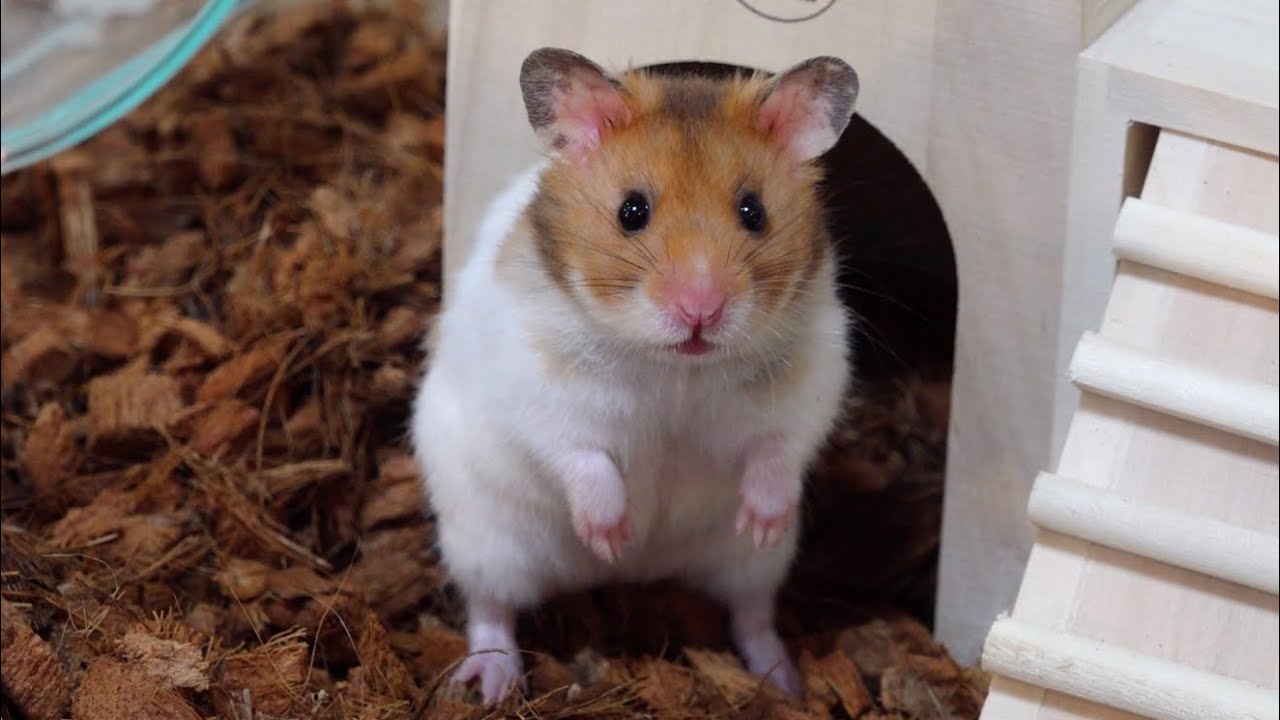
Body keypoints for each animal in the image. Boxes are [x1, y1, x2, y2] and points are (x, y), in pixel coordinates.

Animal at [411, 47, 858, 704]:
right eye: (632, 211)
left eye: (753, 212)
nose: (701, 310)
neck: (676, 368)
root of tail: (646, 571)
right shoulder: (534, 386)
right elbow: (578, 453)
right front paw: (611, 533)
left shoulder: (813, 374)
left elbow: (779, 446)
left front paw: (761, 519)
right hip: (487, 542)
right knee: (491, 610)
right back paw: (495, 683)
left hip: (748, 567)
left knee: (751, 615)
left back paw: (784, 680)